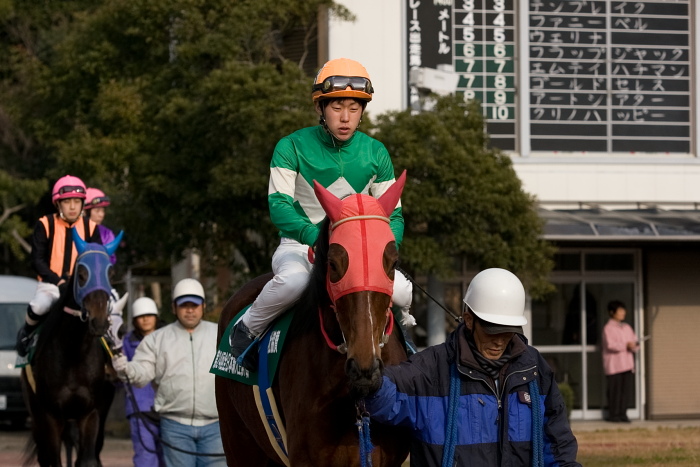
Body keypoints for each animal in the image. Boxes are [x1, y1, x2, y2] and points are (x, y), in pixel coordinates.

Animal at [21, 231, 122, 467]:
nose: (99, 322)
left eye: (110, 273)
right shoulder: (50, 415)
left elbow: (87, 460)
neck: (74, 353)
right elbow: (53, 460)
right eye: (82, 274)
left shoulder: (90, 413)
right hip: (35, 410)